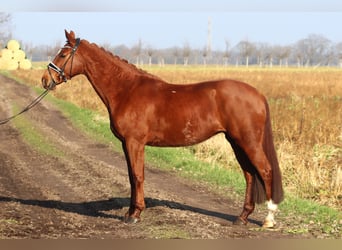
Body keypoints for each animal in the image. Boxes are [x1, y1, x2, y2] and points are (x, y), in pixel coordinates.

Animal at [42, 30, 284, 228]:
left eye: (62, 54)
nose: (45, 79)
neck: (127, 90)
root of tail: (258, 94)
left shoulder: (135, 142)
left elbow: (137, 176)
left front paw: (135, 215)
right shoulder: (127, 144)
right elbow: (131, 176)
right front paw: (131, 212)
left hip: (248, 141)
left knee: (265, 170)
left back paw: (268, 219)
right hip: (236, 142)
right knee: (250, 174)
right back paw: (242, 218)